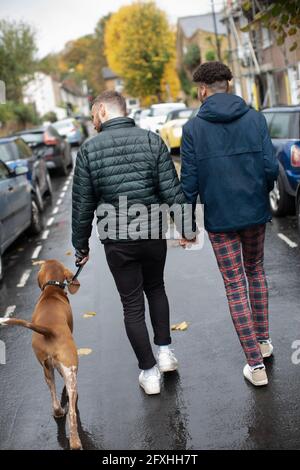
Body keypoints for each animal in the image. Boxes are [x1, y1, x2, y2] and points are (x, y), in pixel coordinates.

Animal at [0, 258, 82, 450]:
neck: (51, 291)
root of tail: (49, 331)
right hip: (71, 370)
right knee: (72, 413)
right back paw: (75, 442)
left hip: (46, 371)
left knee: (55, 400)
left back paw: (58, 412)